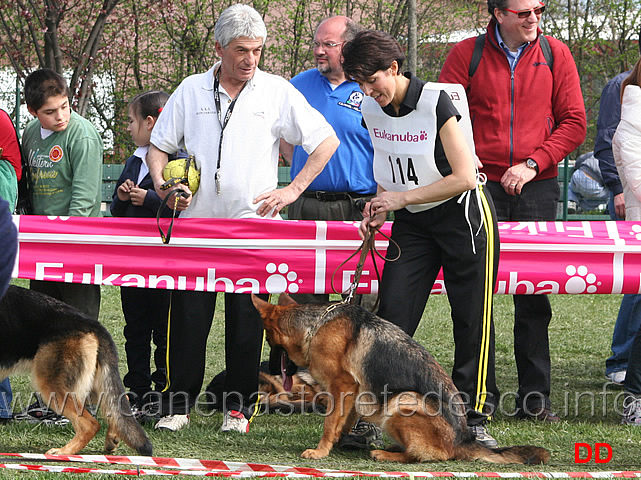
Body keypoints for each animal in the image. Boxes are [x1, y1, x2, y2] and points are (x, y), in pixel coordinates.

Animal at [0, 286, 152, 456]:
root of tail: (95, 327)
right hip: (88, 386)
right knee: (118, 402)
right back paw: (111, 439)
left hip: (53, 388)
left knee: (90, 424)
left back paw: (64, 452)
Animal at [252, 292, 548, 464]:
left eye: (268, 341)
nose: (268, 367)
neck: (315, 325)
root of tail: (462, 439)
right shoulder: (353, 391)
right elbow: (343, 420)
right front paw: (342, 439)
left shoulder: (342, 385)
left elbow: (329, 423)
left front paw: (321, 450)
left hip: (403, 402)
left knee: (435, 456)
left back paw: (386, 454)